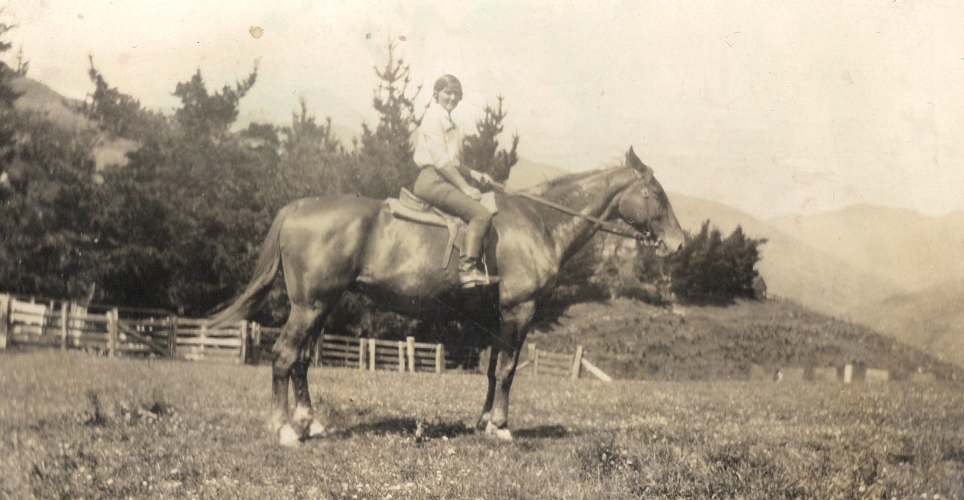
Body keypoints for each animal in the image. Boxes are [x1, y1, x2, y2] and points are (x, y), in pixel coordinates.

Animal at [209, 147, 684, 446]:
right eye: (656, 194)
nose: (679, 243)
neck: (539, 222)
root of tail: (298, 207)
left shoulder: (496, 317)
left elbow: (491, 371)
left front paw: (483, 423)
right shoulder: (519, 311)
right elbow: (508, 369)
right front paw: (502, 427)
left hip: (320, 307)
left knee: (302, 361)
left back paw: (310, 423)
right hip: (309, 307)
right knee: (284, 356)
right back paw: (285, 430)